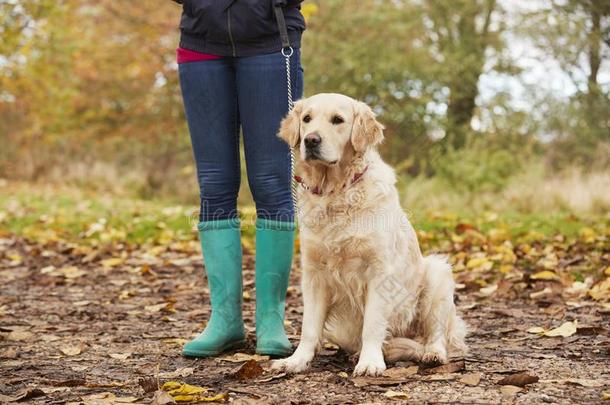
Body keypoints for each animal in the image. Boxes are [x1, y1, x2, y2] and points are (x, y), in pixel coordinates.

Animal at [270, 92, 466, 376]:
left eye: (337, 120)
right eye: (306, 119)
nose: (311, 140)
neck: (336, 192)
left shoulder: (379, 272)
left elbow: (372, 324)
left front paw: (370, 362)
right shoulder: (314, 274)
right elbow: (309, 327)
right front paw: (297, 360)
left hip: (437, 274)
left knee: (437, 334)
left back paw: (432, 354)